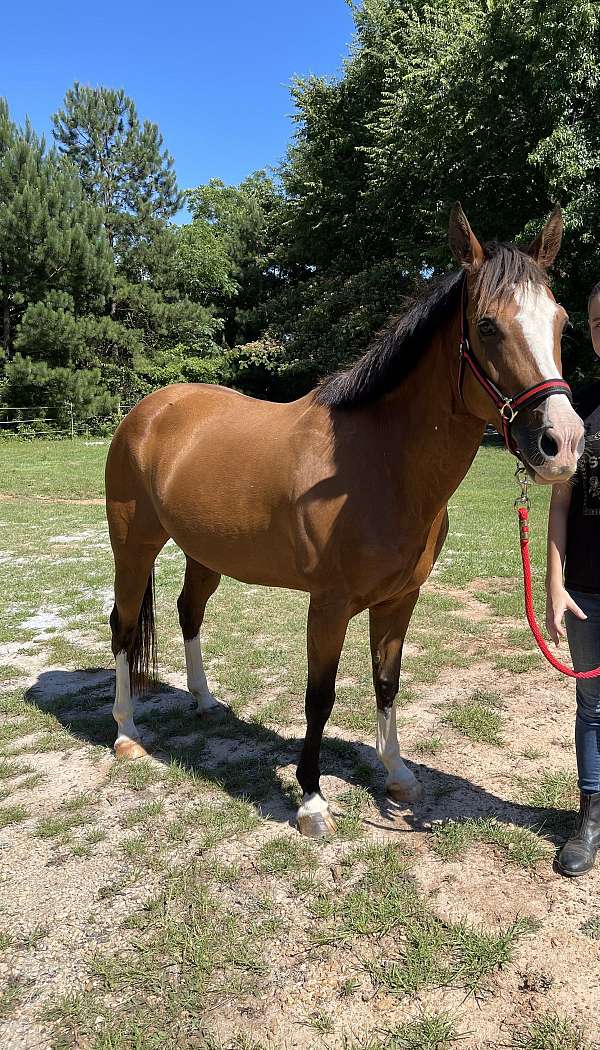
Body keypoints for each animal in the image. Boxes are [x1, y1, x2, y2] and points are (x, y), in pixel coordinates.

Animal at [106, 206, 584, 835]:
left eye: (561, 321)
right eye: (487, 327)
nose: (563, 444)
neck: (376, 465)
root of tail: (149, 410)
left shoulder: (400, 600)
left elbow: (386, 681)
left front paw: (398, 774)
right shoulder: (329, 604)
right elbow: (321, 696)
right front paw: (311, 800)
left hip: (204, 553)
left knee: (189, 612)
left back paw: (205, 700)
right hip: (133, 545)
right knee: (122, 626)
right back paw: (126, 733)